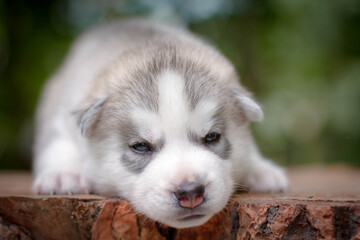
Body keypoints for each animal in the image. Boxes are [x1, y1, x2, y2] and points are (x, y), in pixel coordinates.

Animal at [32, 17, 288, 228]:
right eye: (141, 146)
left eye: (212, 137)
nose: (190, 192)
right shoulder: (63, 116)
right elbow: (58, 143)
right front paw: (63, 176)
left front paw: (262, 171)